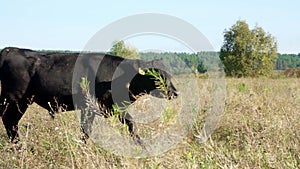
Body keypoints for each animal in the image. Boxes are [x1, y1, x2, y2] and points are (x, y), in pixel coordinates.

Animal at [0, 47, 178, 144]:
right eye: (156, 76)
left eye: (169, 74)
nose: (175, 92)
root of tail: (11, 50)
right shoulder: (98, 107)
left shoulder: (107, 109)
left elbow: (130, 127)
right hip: (15, 100)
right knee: (10, 122)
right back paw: (18, 146)